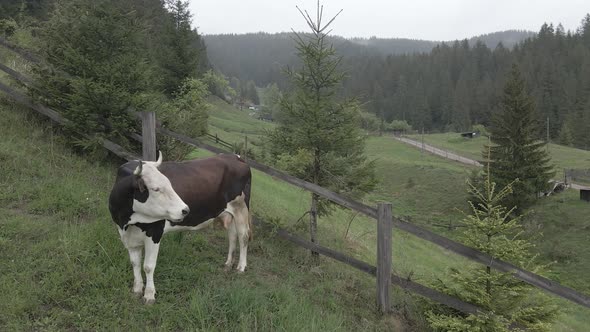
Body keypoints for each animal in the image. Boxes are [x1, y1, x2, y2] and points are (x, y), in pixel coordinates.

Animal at [108, 153, 252, 304]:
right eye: (156, 189)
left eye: (170, 184)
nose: (185, 210)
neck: (127, 222)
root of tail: (234, 156)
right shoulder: (128, 236)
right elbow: (135, 263)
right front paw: (137, 289)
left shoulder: (155, 233)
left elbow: (148, 266)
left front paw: (149, 295)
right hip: (230, 212)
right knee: (232, 236)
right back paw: (228, 263)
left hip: (241, 208)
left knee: (243, 236)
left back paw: (241, 267)